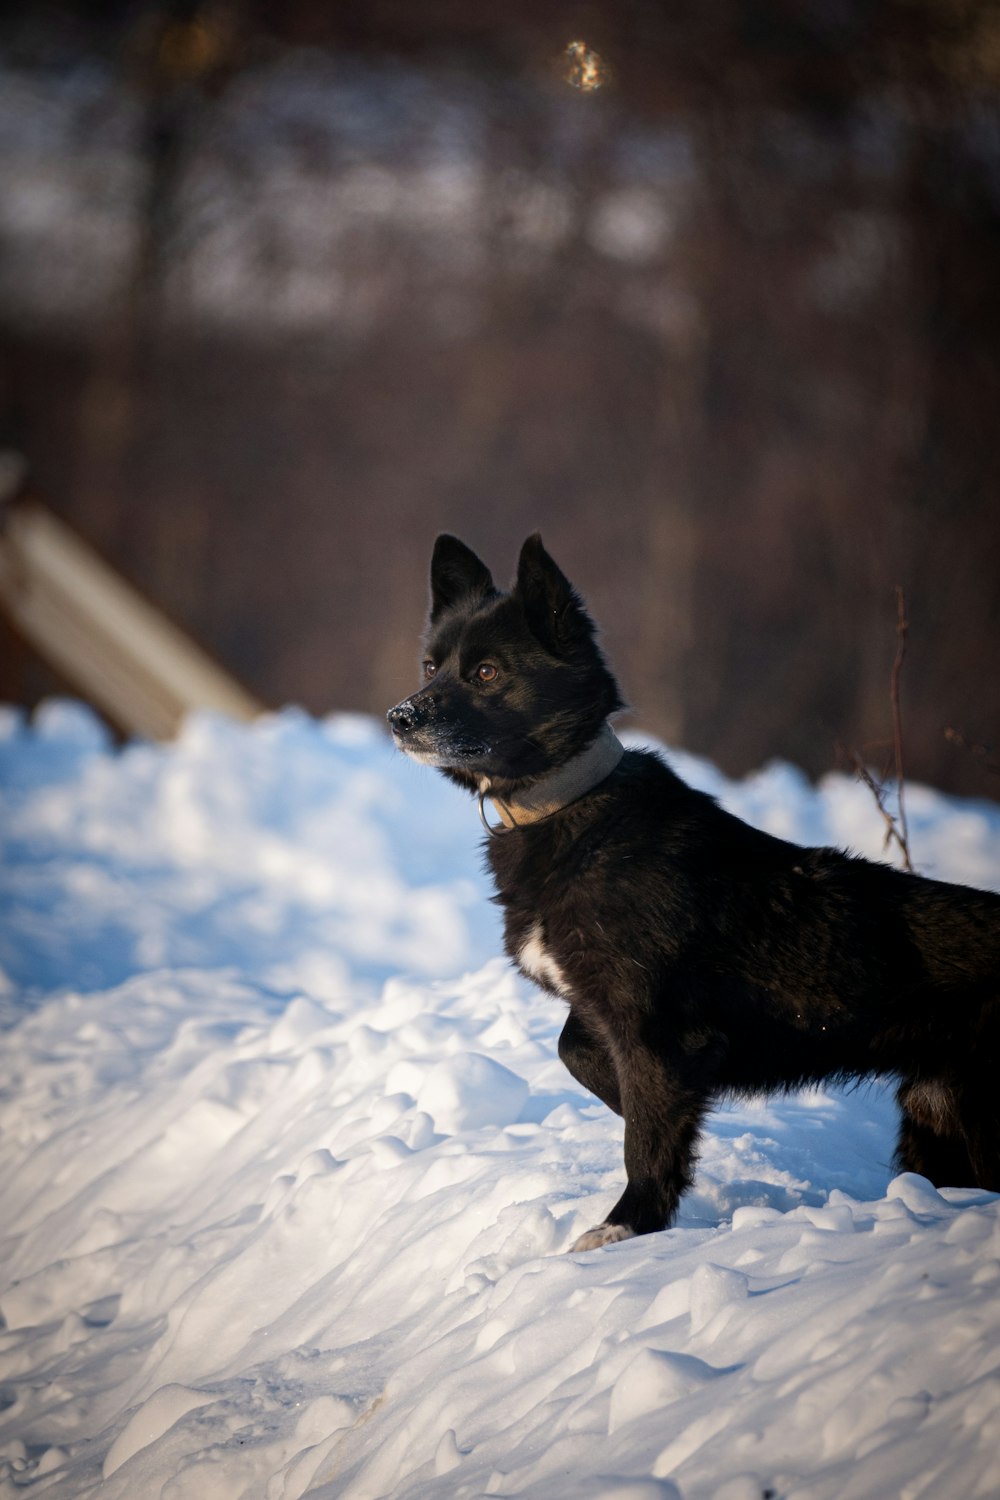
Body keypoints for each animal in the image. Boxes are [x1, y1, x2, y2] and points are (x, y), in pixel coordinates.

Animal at [386, 534, 1000, 1248]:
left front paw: (627, 1226)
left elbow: (645, 1133)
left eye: (486, 673)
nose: (400, 717)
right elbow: (582, 1058)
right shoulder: (618, 1018)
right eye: (431, 667)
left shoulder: (655, 1028)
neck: (570, 806)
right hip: (939, 1116)